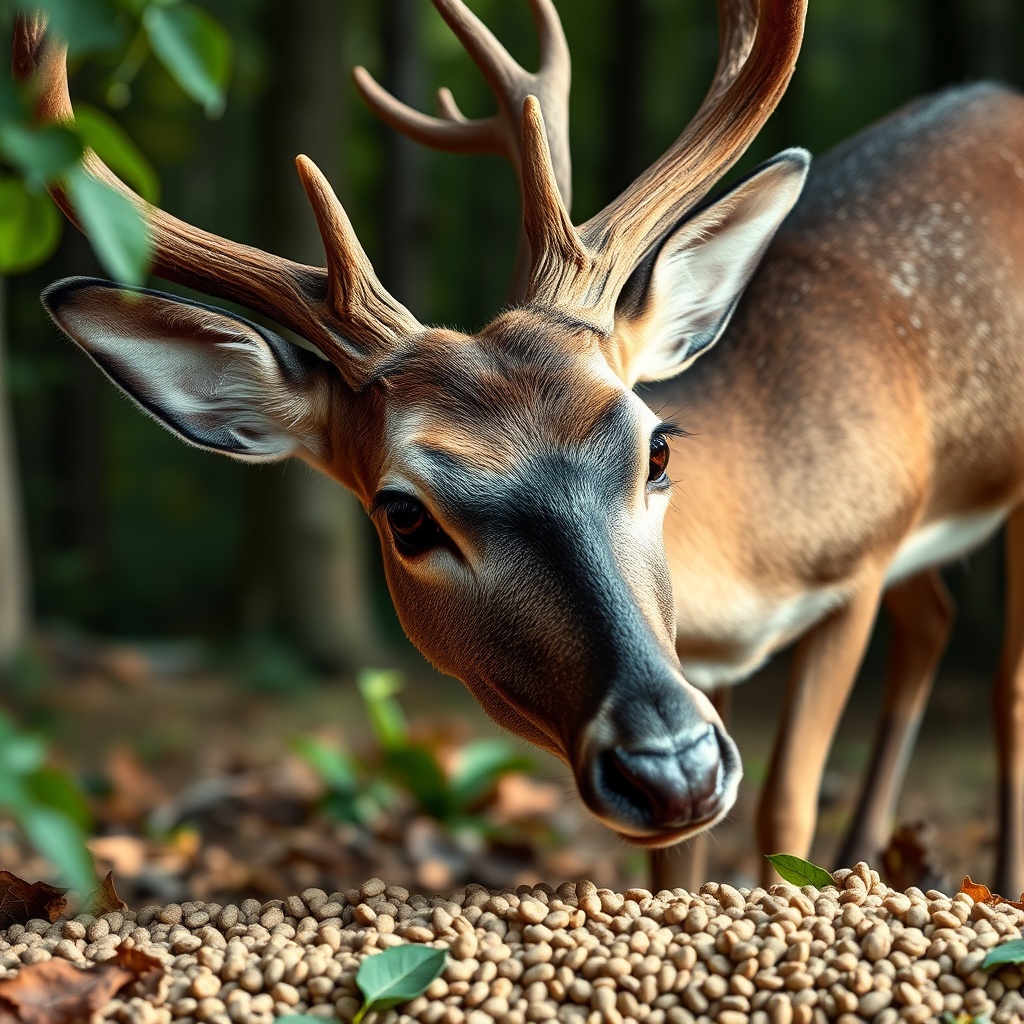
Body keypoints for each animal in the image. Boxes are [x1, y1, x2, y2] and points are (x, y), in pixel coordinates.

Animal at [13, 0, 1024, 894]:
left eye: (657, 449)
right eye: (405, 516)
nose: (670, 768)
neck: (745, 582)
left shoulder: (862, 557)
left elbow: (784, 806)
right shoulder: (712, 667)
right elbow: (682, 862)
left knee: (1002, 686)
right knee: (935, 620)